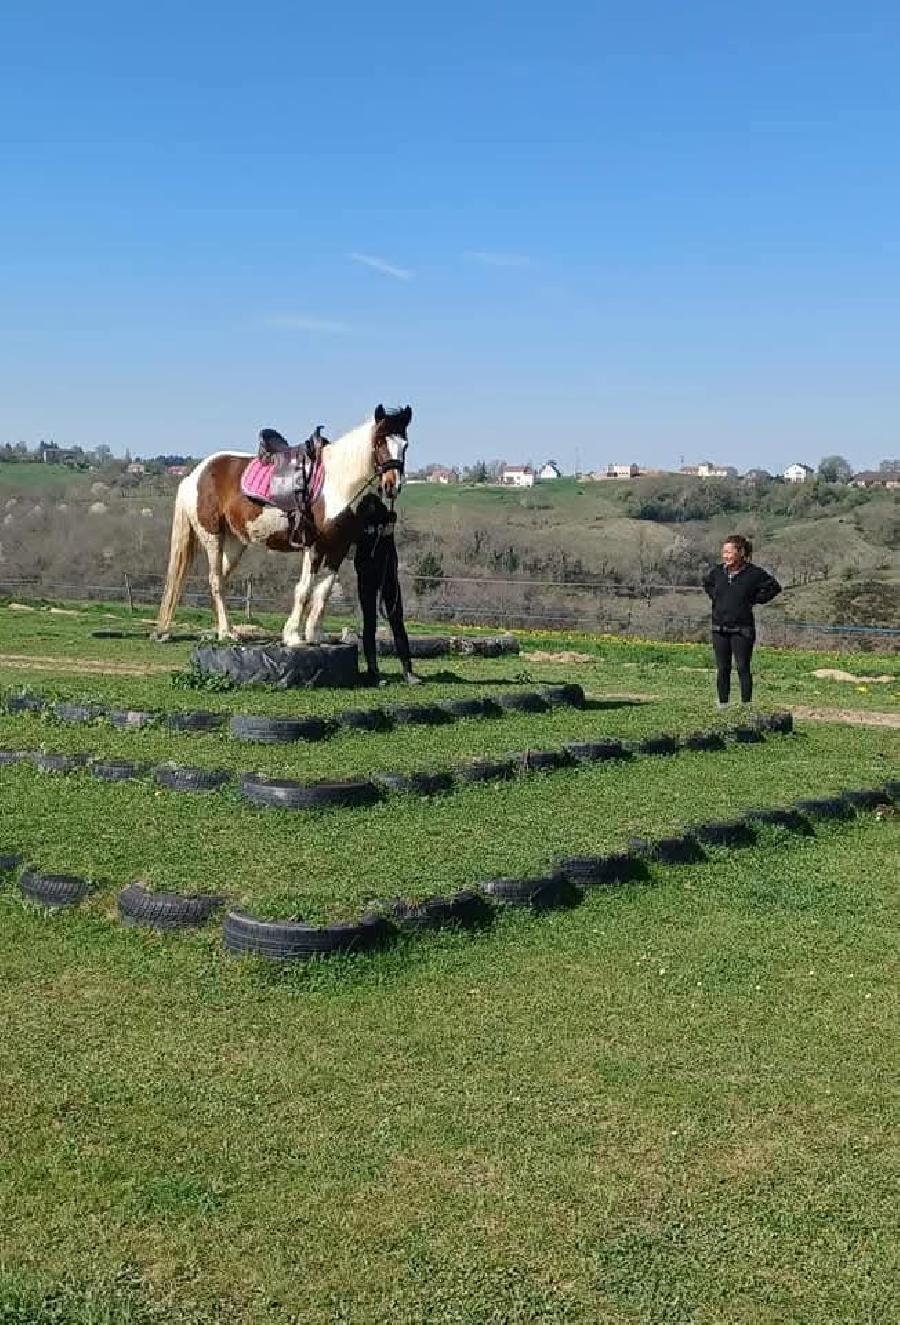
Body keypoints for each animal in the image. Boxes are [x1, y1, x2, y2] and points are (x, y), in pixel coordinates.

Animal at [155, 405, 410, 649]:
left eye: (405, 445)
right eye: (379, 442)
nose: (392, 486)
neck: (337, 484)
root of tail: (194, 475)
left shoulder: (339, 548)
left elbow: (324, 591)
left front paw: (316, 635)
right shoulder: (313, 545)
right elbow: (304, 589)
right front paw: (294, 636)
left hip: (235, 543)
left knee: (221, 580)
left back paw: (225, 631)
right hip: (212, 538)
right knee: (216, 580)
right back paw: (227, 632)